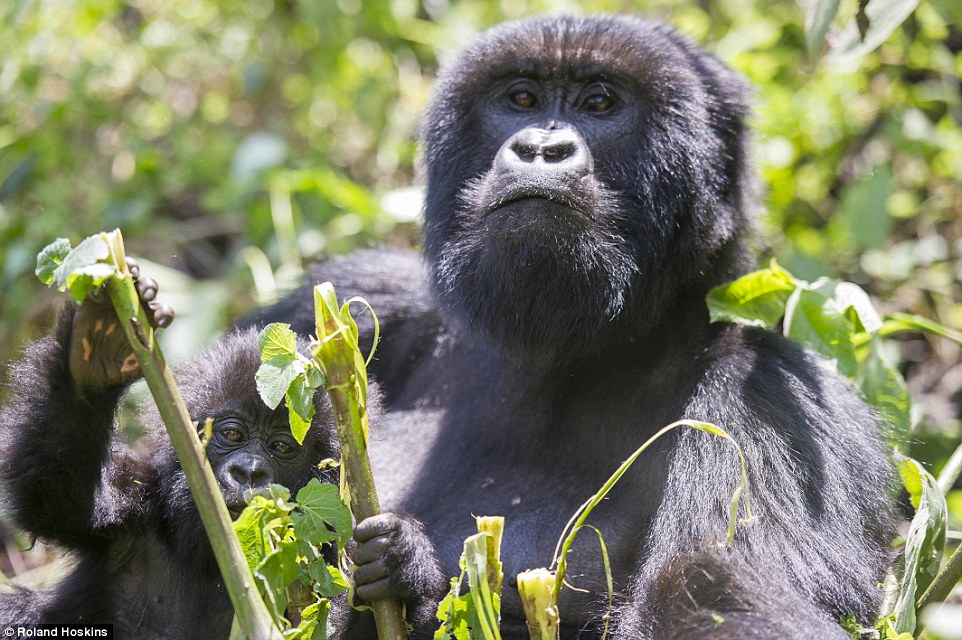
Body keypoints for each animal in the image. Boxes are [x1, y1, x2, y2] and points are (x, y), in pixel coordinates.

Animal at [0, 268, 440, 636]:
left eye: (282, 447)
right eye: (231, 434)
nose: (249, 473)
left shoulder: (328, 565)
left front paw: (400, 557)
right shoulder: (139, 508)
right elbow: (58, 493)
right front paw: (99, 344)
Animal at [249, 15, 892, 640]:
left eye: (601, 103)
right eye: (521, 98)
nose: (540, 149)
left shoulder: (769, 396)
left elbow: (709, 586)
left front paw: (406, 577)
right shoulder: (362, 295)